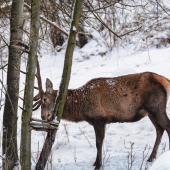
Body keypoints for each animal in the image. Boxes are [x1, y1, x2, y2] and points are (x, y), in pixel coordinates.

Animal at [32, 61, 170, 170]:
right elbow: (100, 142)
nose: (43, 117)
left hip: (156, 107)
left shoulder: (99, 119)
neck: (81, 107)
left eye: (44, 99)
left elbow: (98, 143)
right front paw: (95, 162)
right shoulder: (101, 121)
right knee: (160, 129)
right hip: (151, 111)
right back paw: (151, 157)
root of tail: (166, 81)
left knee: (167, 127)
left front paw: (98, 165)